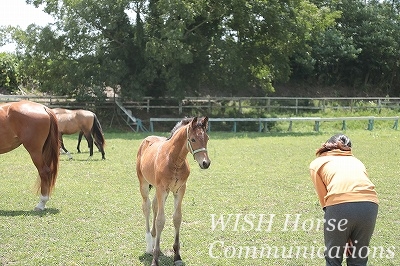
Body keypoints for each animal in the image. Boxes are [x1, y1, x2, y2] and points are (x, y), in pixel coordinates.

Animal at [136, 116, 211, 266]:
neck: (174, 159)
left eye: (207, 138)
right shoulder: (162, 189)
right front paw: (155, 259)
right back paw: (149, 246)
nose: (206, 163)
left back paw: (154, 241)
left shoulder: (180, 189)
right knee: (147, 207)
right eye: (193, 139)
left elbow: (177, 218)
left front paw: (177, 256)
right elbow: (160, 220)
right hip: (144, 184)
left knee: (155, 206)